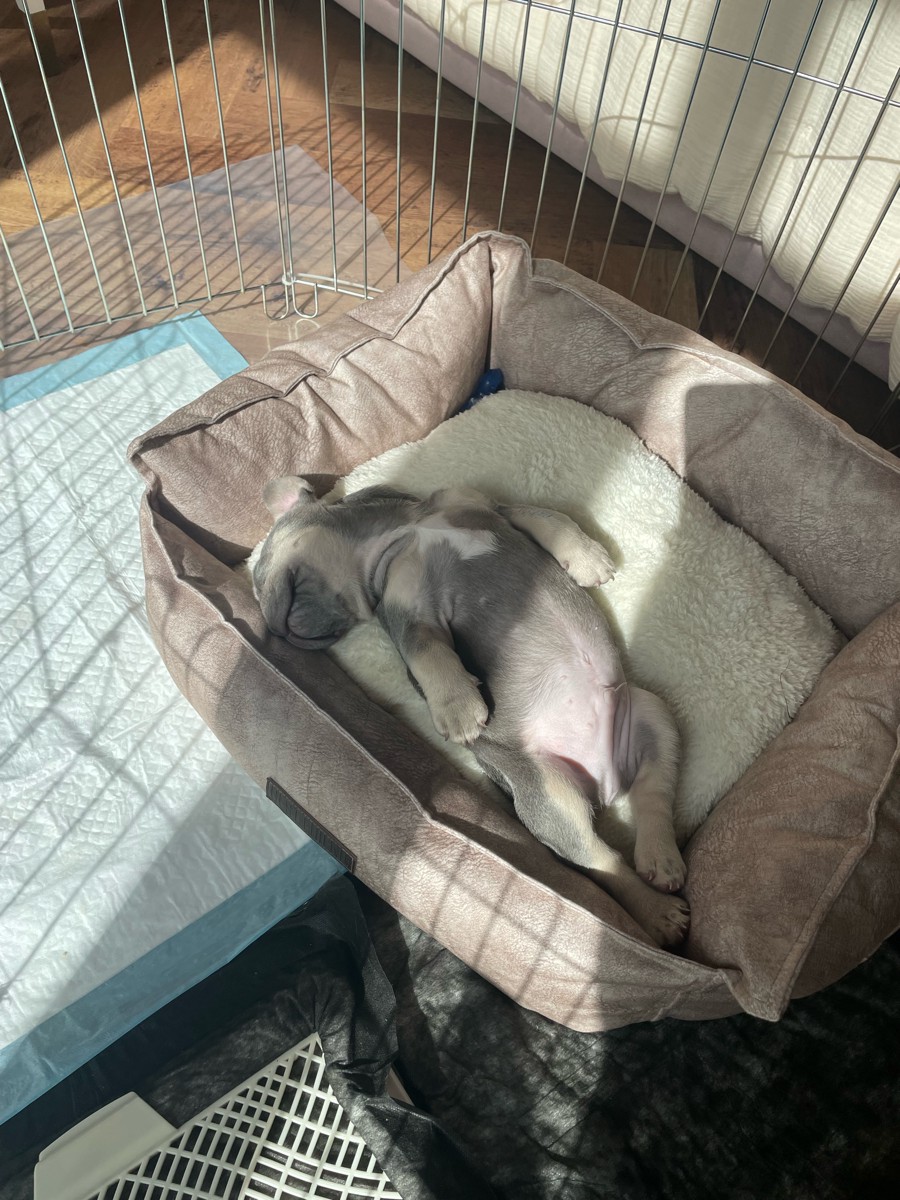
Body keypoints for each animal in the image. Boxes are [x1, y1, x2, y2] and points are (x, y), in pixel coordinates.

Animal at [249, 477, 690, 947]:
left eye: (263, 579)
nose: (276, 631)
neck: (405, 527)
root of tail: (605, 786)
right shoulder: (412, 612)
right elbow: (426, 651)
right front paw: (459, 708)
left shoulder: (485, 504)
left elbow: (543, 515)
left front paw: (588, 556)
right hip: (550, 794)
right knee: (605, 862)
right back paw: (658, 912)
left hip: (653, 714)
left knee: (652, 796)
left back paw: (660, 860)